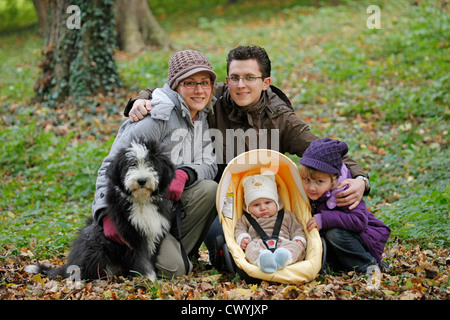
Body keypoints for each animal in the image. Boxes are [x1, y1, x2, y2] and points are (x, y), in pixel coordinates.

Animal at [23, 139, 176, 280]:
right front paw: (149, 281)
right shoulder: (131, 237)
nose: (142, 180)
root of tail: (69, 265)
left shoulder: (154, 234)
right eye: (131, 164)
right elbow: (142, 262)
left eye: (150, 164)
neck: (141, 201)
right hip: (94, 246)